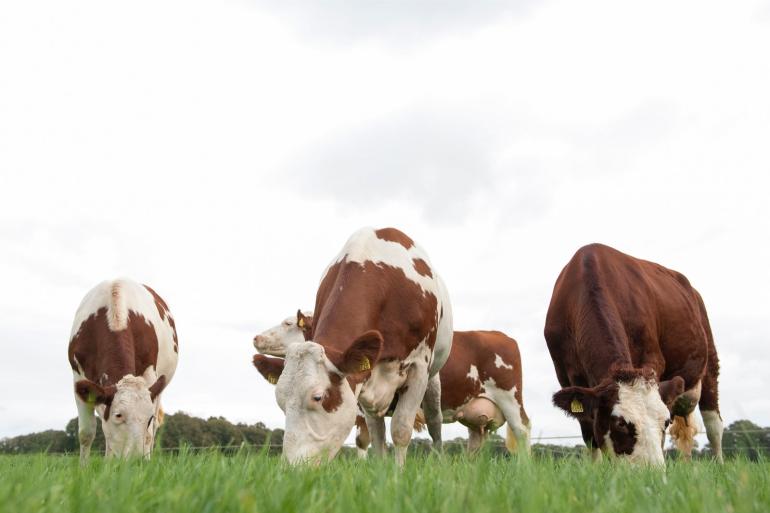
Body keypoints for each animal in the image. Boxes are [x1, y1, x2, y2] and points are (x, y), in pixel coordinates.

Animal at [67, 278, 177, 462]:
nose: (136, 460)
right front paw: (85, 467)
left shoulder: (149, 375)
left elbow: (148, 434)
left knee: (153, 431)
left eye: (148, 418)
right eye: (118, 415)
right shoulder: (78, 377)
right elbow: (86, 433)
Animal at [249, 227, 452, 464]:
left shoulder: (419, 367)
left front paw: (398, 472)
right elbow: (376, 436)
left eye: (318, 397)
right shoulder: (363, 378)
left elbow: (401, 429)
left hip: (433, 379)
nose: (292, 466)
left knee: (435, 422)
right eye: (280, 401)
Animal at [540, 244, 720, 464]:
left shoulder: (652, 360)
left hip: (709, 360)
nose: (652, 470)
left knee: (714, 425)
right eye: (620, 423)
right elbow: (589, 434)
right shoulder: (567, 377)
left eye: (665, 422)